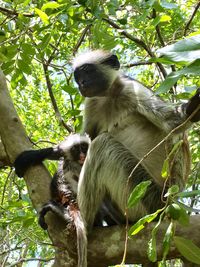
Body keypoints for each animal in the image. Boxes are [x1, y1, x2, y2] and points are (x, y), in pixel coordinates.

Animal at [73, 49, 200, 230]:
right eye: (77, 77)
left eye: (88, 71)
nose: (81, 83)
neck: (110, 95)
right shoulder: (92, 102)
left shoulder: (131, 88)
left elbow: (173, 123)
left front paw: (192, 106)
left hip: (147, 199)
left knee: (101, 144)